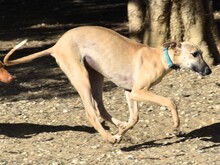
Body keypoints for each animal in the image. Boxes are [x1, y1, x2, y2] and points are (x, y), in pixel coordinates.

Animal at [2, 25, 211, 143]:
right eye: (195, 54)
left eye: (201, 53)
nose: (209, 71)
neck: (161, 56)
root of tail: (56, 45)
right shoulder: (139, 91)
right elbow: (170, 102)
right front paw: (176, 124)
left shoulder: (129, 92)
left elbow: (134, 118)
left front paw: (123, 131)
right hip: (82, 79)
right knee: (91, 113)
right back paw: (110, 138)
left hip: (96, 77)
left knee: (101, 109)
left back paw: (118, 127)